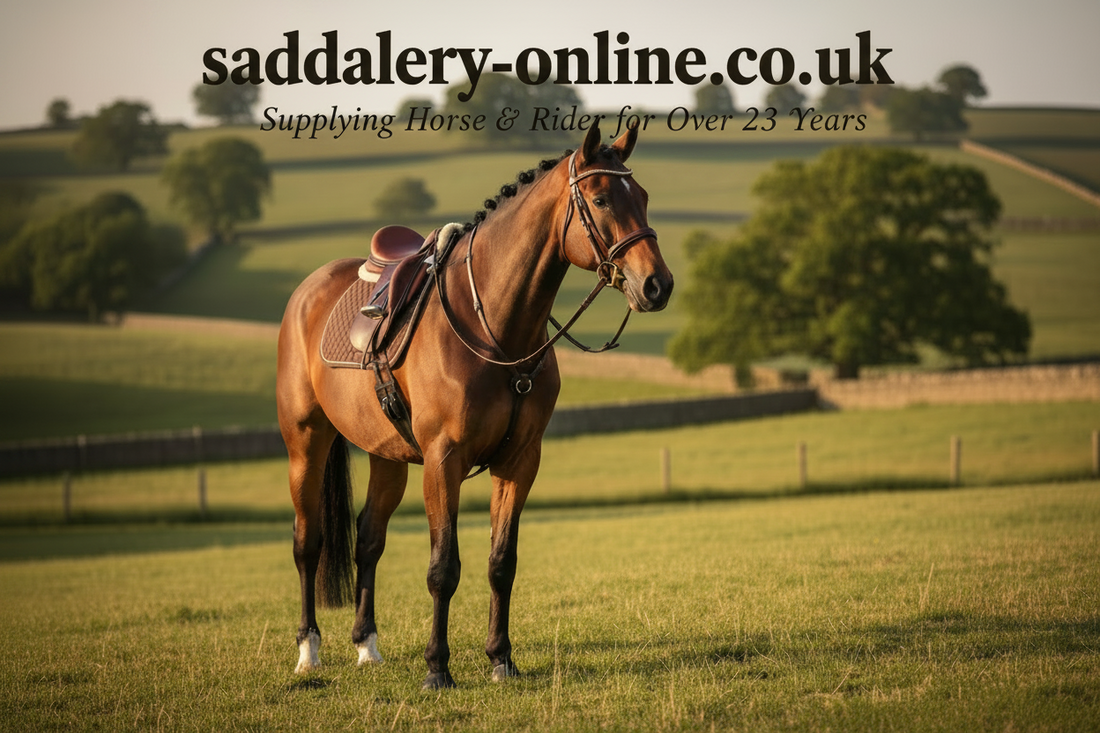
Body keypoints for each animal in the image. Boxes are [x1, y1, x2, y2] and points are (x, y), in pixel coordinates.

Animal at [276, 121, 673, 689]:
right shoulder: (444, 461)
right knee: (307, 543)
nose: (657, 285)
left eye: (641, 197)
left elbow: (500, 562)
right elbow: (444, 569)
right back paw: (308, 651)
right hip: (305, 444)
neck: (495, 330)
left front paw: (501, 659)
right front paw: (437, 668)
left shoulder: (519, 461)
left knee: (368, 539)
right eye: (600, 199)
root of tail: (308, 290)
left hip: (387, 456)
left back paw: (366, 646)